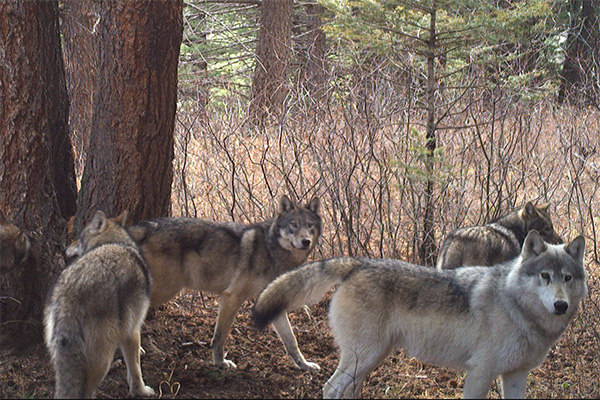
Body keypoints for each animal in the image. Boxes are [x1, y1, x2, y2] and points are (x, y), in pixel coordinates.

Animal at [47, 211, 155, 398]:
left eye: (79, 238)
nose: (65, 249)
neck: (116, 242)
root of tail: (70, 292)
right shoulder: (132, 330)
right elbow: (135, 370)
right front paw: (141, 391)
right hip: (102, 360)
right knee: (85, 392)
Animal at [125, 195, 324, 370]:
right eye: (293, 225)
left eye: (310, 225)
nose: (306, 241)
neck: (271, 250)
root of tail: (139, 228)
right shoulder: (232, 297)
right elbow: (220, 336)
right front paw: (220, 363)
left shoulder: (272, 302)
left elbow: (291, 341)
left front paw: (304, 365)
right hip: (164, 290)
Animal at [252, 230, 584, 398]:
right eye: (544, 276)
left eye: (567, 278)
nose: (561, 306)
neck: (517, 309)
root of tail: (358, 263)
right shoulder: (480, 372)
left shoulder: (515, 376)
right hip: (364, 357)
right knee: (330, 388)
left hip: (370, 360)